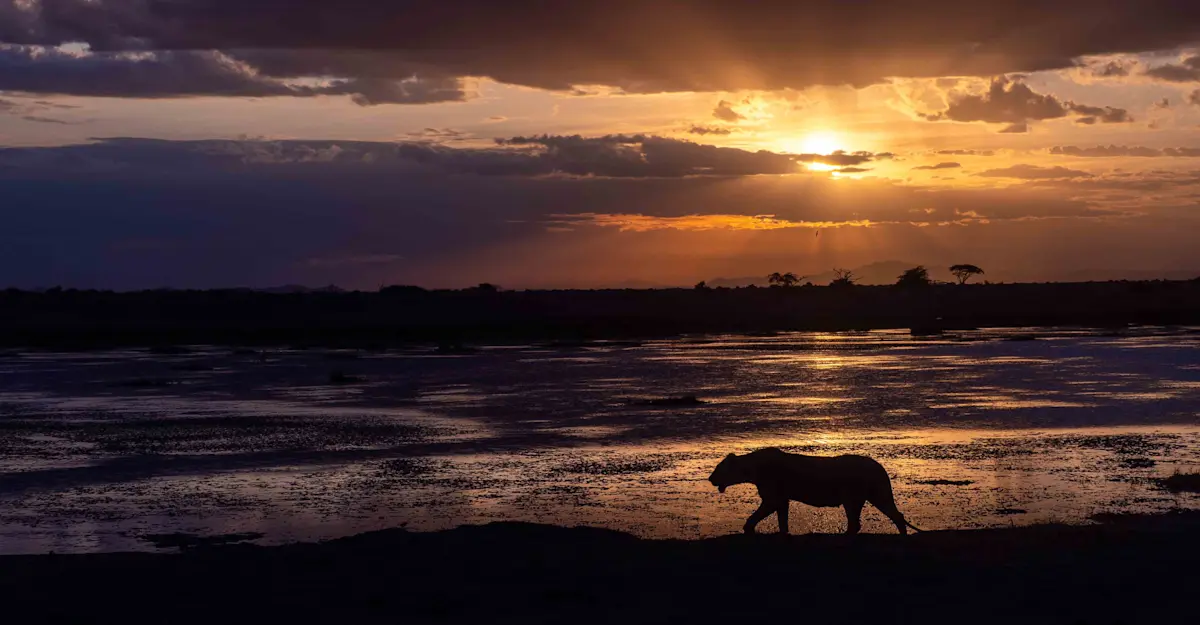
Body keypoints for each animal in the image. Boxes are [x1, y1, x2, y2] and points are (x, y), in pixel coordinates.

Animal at [707, 448, 922, 535]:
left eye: (718, 468)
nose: (710, 478)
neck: (751, 468)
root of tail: (879, 467)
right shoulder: (782, 493)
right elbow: (782, 512)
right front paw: (784, 532)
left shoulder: (771, 484)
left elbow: (768, 505)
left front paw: (748, 527)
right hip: (865, 488)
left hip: (860, 487)